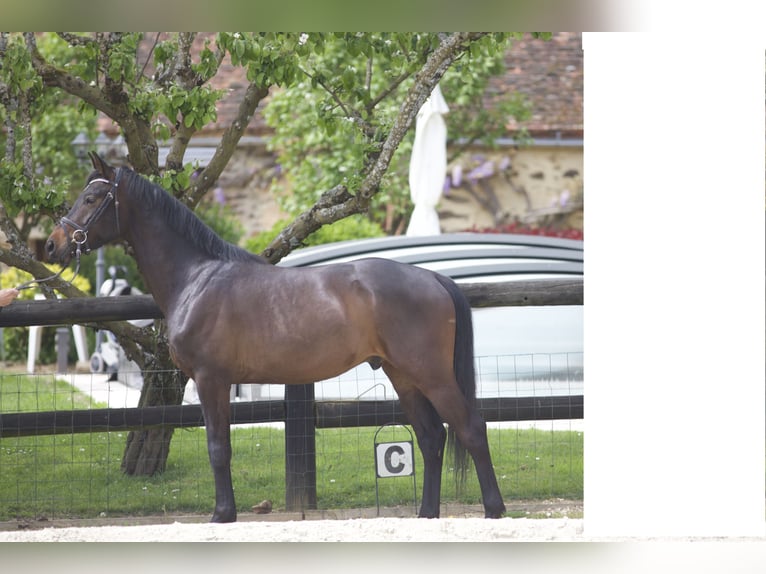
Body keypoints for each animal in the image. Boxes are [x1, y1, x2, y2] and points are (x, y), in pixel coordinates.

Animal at [45, 152, 506, 523]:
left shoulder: (211, 379)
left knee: (470, 427)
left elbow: (218, 447)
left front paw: (222, 514)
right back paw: (427, 513)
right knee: (432, 437)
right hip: (403, 376)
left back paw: (494, 509)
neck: (197, 278)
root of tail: (432, 278)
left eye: (91, 199)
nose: (52, 245)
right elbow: (221, 447)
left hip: (431, 374)